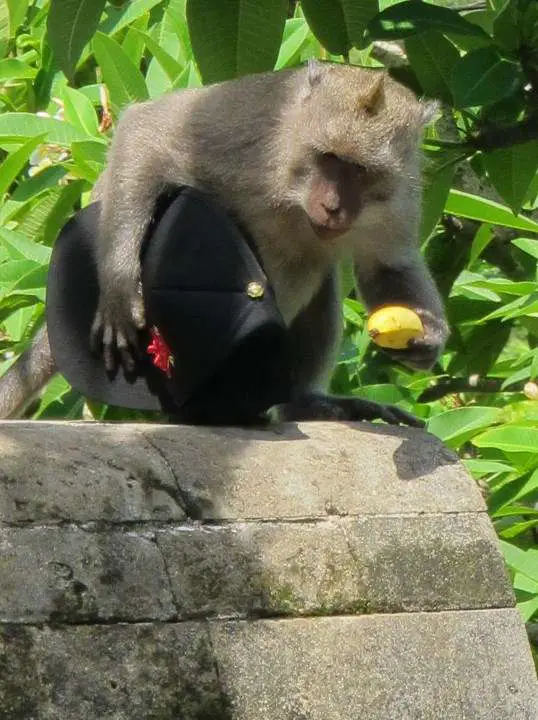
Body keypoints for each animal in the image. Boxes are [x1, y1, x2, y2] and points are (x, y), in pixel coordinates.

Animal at [0, 62, 446, 424]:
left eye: (361, 170)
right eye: (328, 157)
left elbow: (389, 265)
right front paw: (119, 288)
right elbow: (149, 133)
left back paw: (303, 404)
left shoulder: (400, 196)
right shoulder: (253, 139)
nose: (333, 206)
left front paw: (427, 337)